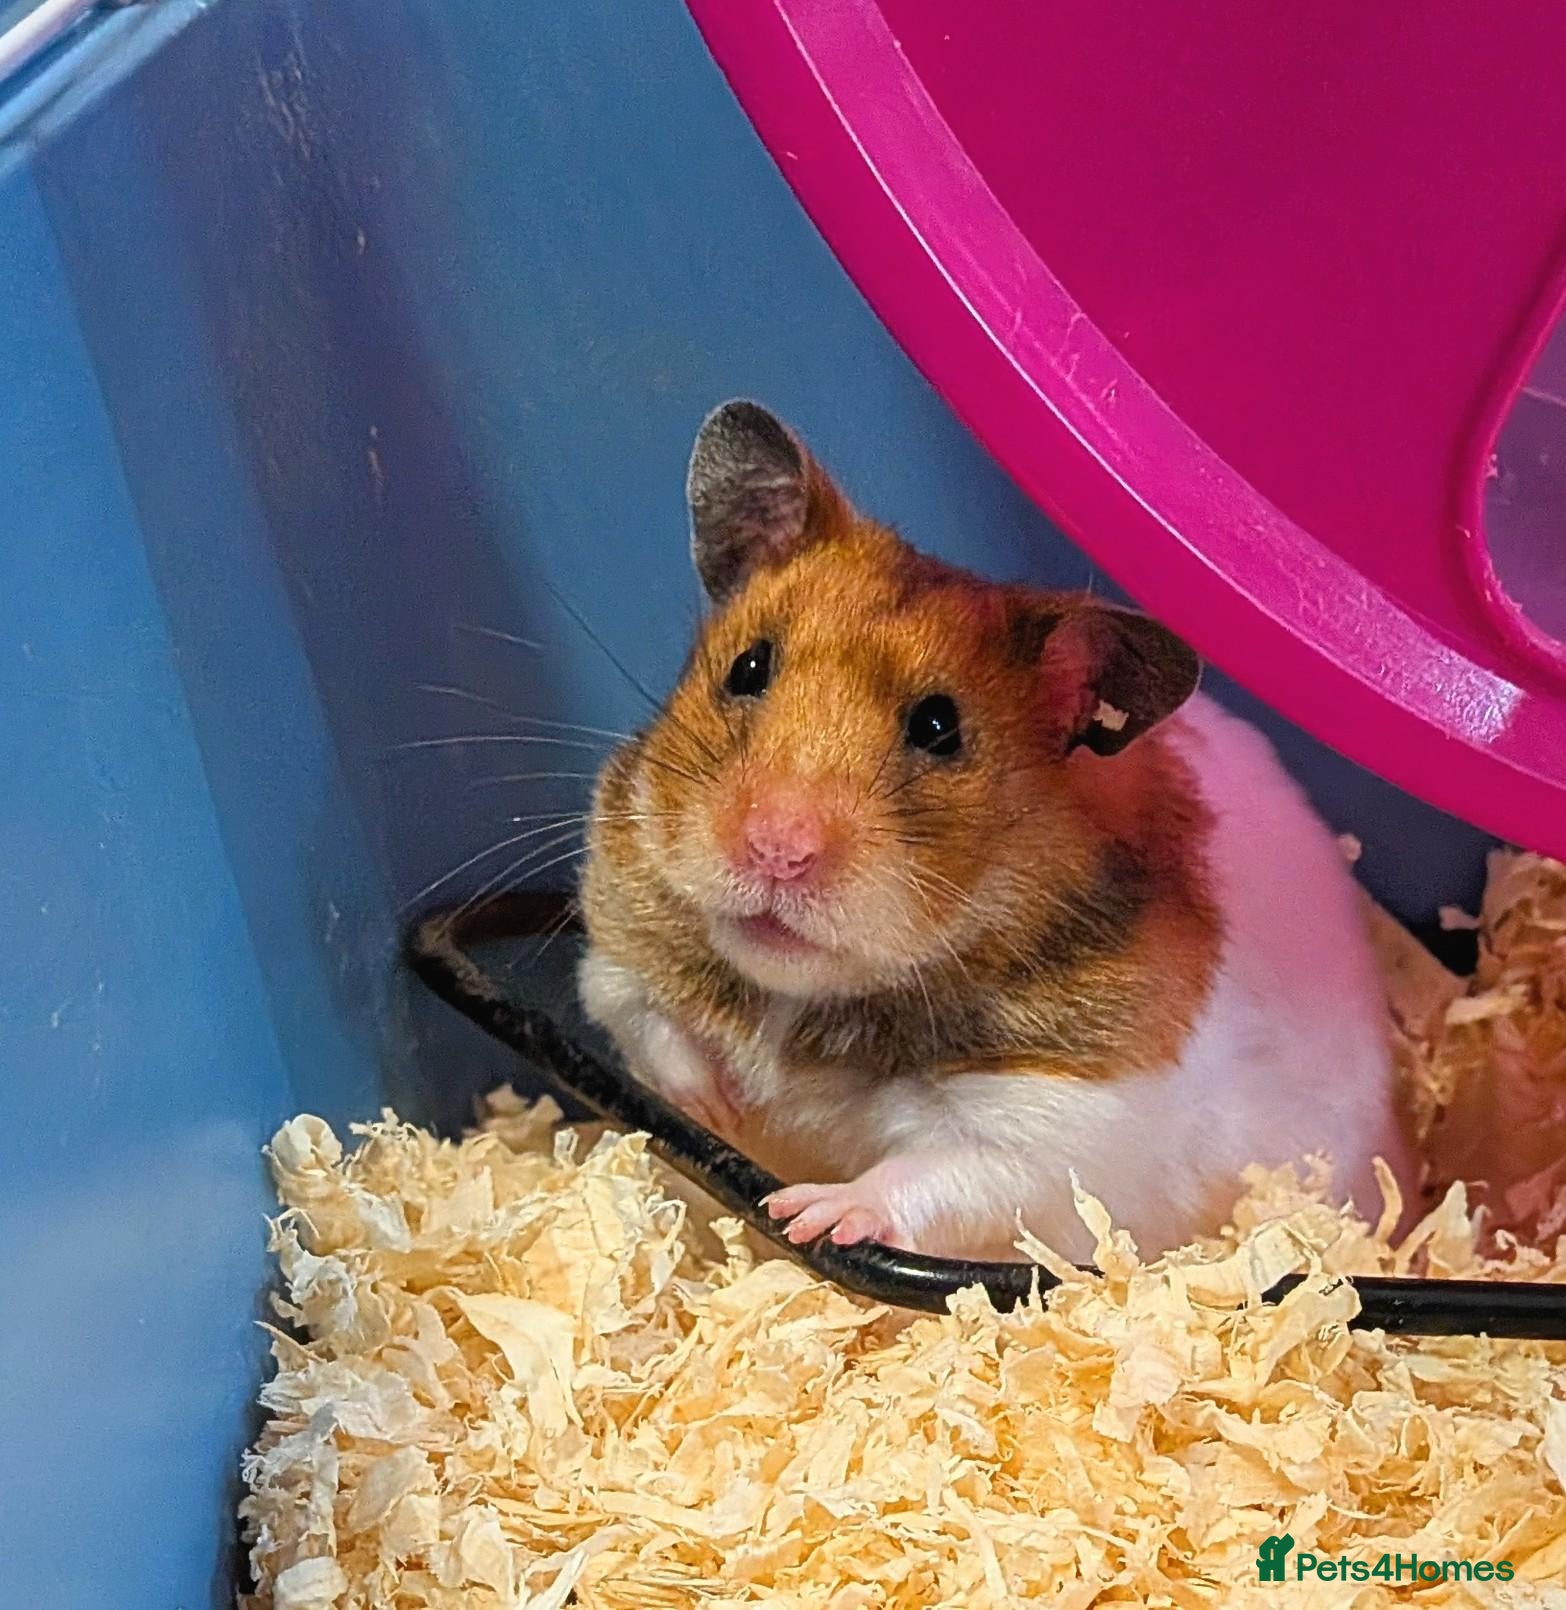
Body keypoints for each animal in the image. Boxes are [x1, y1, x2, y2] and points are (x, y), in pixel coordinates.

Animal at [577, 400, 1413, 1264]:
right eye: (748, 667)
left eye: (939, 728)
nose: (775, 849)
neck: (804, 1001)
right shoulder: (614, 946)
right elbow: (642, 1017)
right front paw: (719, 1106)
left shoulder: (1048, 1132)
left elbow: (937, 1176)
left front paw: (808, 1212)